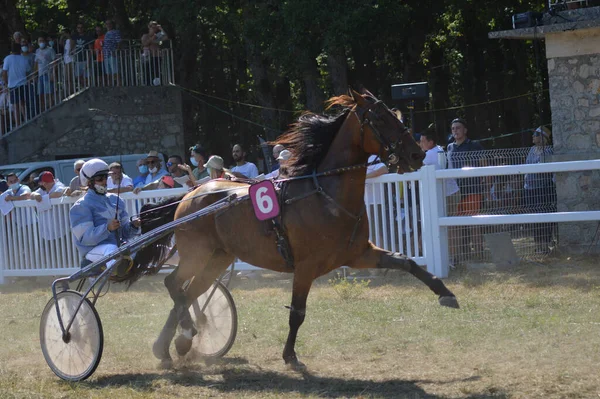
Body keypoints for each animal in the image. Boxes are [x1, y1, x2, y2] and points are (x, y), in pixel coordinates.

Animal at [130, 89, 460, 370]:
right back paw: (185, 334)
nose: (417, 155)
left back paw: (170, 347)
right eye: (379, 118)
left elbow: (407, 262)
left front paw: (445, 294)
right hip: (197, 254)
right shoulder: (306, 266)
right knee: (174, 285)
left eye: (395, 115)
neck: (325, 196)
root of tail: (191, 194)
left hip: (218, 258)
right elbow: (297, 313)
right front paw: (290, 356)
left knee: (187, 294)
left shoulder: (358, 254)